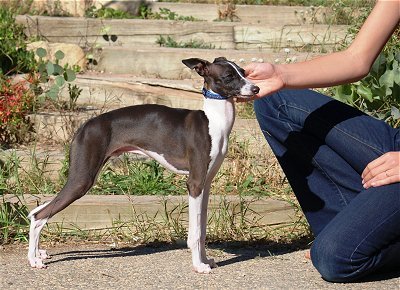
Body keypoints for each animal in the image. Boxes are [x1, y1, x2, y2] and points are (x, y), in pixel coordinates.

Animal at [27, 57, 260, 274]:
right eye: (229, 76)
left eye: (244, 71)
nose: (256, 89)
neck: (213, 120)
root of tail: (85, 125)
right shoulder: (194, 184)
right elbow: (194, 233)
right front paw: (198, 266)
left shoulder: (205, 184)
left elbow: (201, 230)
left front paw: (205, 260)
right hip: (81, 179)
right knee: (39, 216)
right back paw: (33, 260)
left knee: (37, 211)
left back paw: (38, 252)